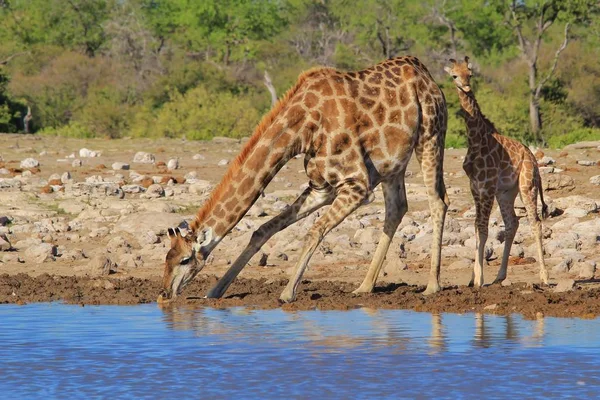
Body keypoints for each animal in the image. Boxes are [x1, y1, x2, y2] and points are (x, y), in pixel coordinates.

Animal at [162, 54, 448, 302]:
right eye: (167, 256)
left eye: (185, 260)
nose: (164, 293)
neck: (301, 129)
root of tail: (423, 71)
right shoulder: (321, 187)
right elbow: (263, 229)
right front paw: (215, 290)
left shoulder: (356, 185)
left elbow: (314, 230)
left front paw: (287, 292)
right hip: (392, 164)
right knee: (397, 208)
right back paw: (364, 286)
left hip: (431, 135)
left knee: (438, 201)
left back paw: (432, 286)